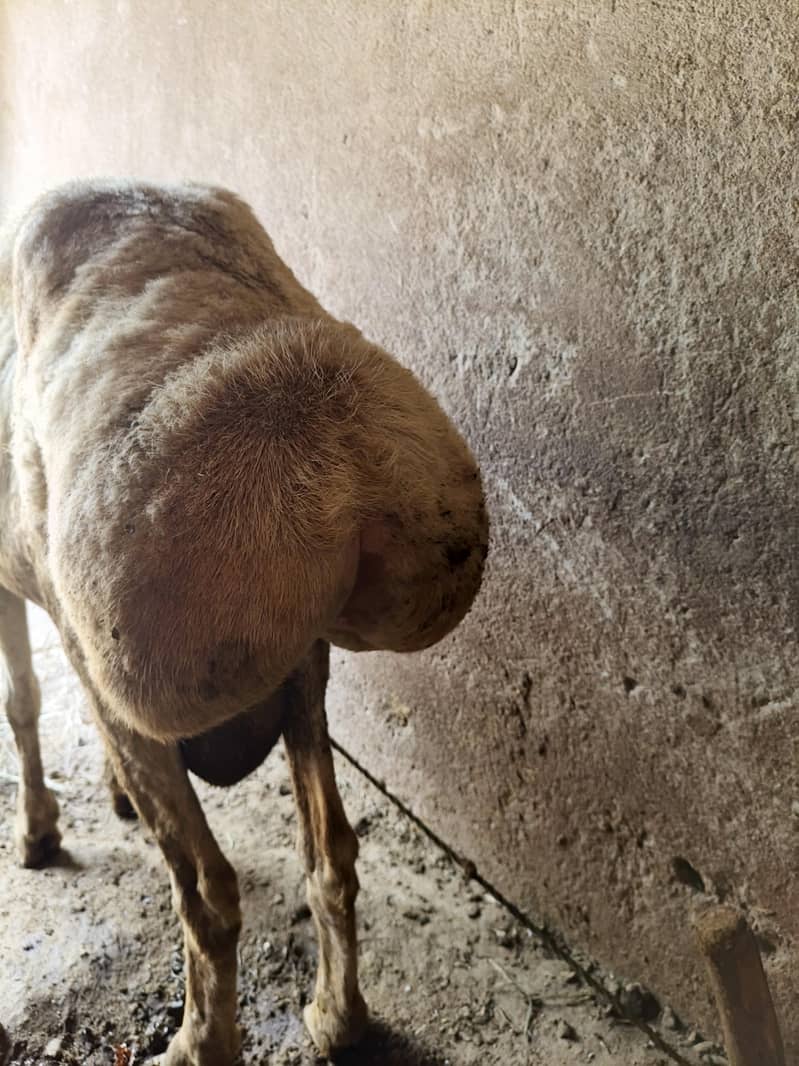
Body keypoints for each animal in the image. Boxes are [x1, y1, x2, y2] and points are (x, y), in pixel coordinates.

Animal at [0, 180, 488, 1066]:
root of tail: (334, 471)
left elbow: (21, 702)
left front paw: (38, 834)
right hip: (303, 665)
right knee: (331, 855)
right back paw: (337, 1016)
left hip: (135, 686)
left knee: (208, 893)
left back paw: (201, 1039)